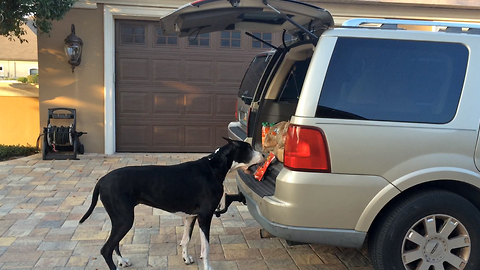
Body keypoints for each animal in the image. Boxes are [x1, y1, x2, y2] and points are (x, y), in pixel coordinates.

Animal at [80, 138, 264, 268]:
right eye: (249, 148)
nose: (264, 154)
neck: (214, 167)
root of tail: (102, 180)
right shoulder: (205, 216)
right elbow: (206, 248)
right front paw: (207, 266)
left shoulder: (192, 216)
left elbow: (186, 239)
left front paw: (186, 257)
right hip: (125, 220)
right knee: (106, 249)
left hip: (119, 219)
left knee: (114, 243)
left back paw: (122, 260)